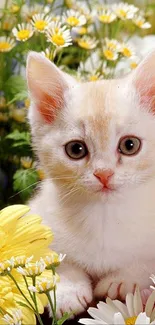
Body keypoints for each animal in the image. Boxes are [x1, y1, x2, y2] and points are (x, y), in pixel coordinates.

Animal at [27, 50, 155, 316]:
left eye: (130, 145)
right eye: (76, 149)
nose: (103, 173)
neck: (104, 214)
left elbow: (147, 260)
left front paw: (125, 280)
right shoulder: (38, 214)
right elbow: (53, 257)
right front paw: (67, 289)